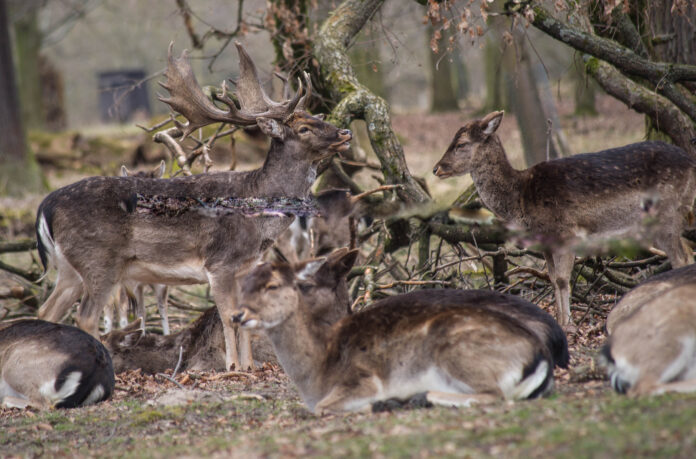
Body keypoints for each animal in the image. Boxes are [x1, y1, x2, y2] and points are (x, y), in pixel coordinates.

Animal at [35, 42, 350, 374]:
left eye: (317, 117)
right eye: (304, 128)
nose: (345, 133)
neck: (257, 214)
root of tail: (46, 205)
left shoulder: (247, 266)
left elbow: (247, 318)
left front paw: (249, 367)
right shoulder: (219, 262)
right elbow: (228, 317)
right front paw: (232, 367)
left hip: (70, 268)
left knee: (47, 310)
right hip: (99, 260)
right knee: (85, 316)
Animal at [436, 110, 696, 328]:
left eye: (461, 143)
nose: (436, 169)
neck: (520, 198)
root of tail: (690, 163)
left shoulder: (566, 234)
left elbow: (562, 279)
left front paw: (568, 325)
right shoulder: (547, 244)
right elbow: (552, 279)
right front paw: (560, 320)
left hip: (666, 215)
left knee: (681, 258)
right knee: (688, 253)